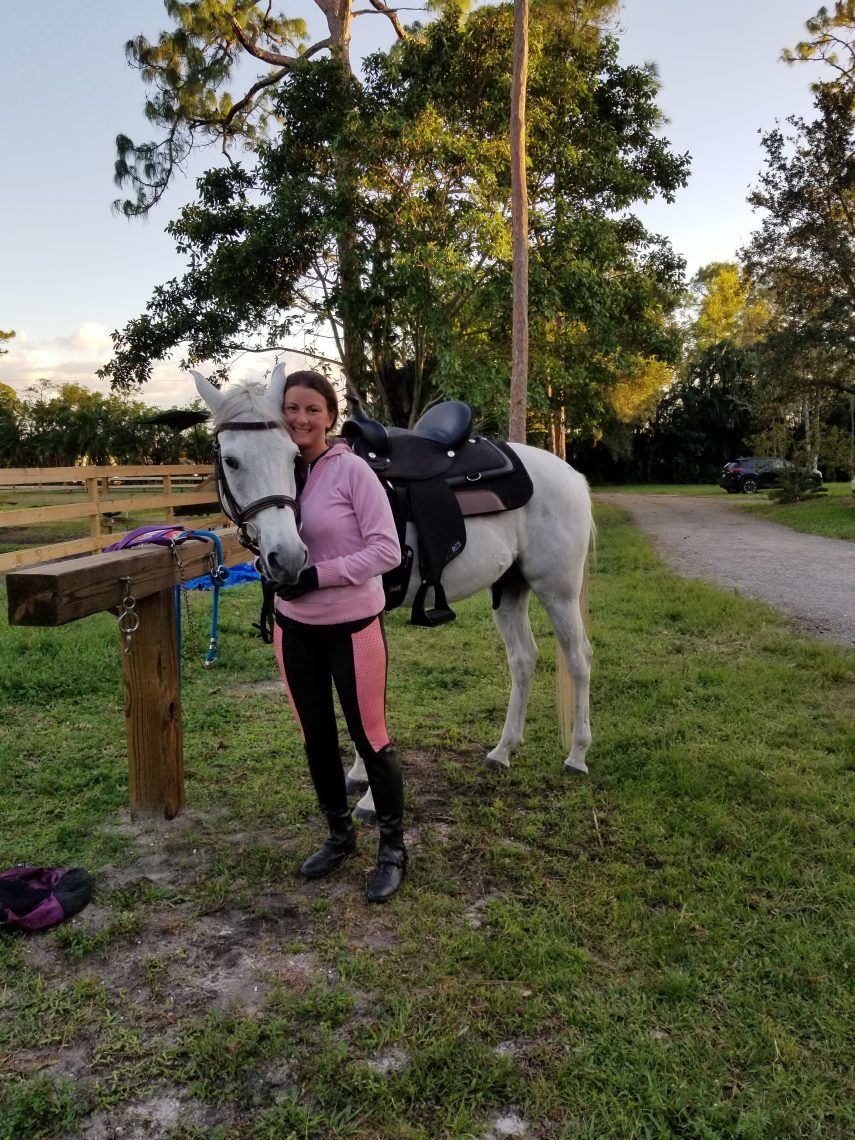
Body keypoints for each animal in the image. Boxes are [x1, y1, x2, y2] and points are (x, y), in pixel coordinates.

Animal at [192, 366, 594, 821]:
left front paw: (369, 796)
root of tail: (570, 475)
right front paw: (357, 775)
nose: (287, 557)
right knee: (524, 659)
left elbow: (366, 700)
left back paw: (577, 756)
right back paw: (503, 750)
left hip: (557, 591)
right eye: (231, 460)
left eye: (292, 456)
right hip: (510, 589)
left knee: (578, 659)